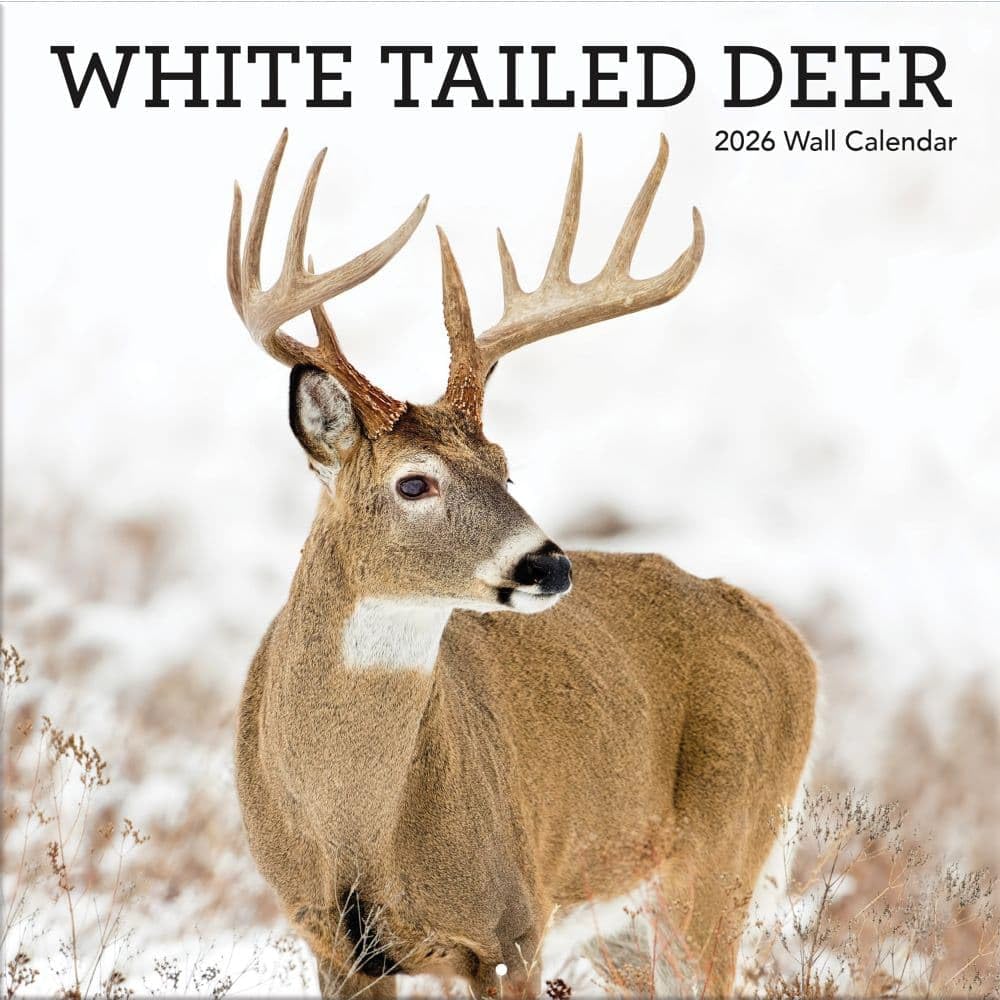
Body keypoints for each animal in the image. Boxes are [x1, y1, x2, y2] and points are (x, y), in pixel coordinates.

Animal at [228, 130, 817, 999]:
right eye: (414, 482)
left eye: (505, 468)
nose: (549, 566)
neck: (355, 822)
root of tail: (790, 639)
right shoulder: (330, 943)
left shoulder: (513, 923)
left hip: (725, 843)